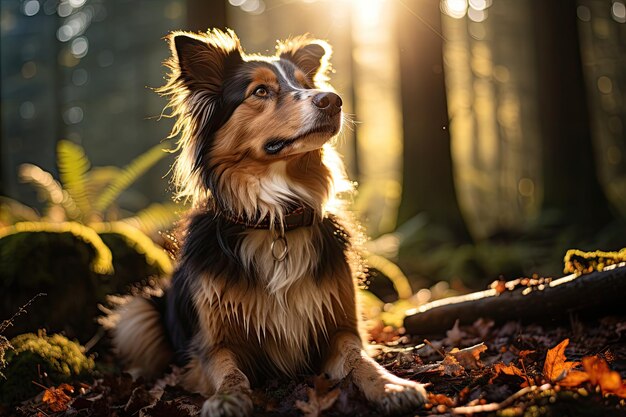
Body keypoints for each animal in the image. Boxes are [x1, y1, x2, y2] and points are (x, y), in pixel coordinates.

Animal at [109, 27, 426, 414]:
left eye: (306, 84)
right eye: (260, 91)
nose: (333, 100)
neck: (275, 219)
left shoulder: (340, 328)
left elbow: (360, 359)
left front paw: (391, 385)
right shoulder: (212, 345)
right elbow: (229, 371)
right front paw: (227, 399)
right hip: (138, 313)